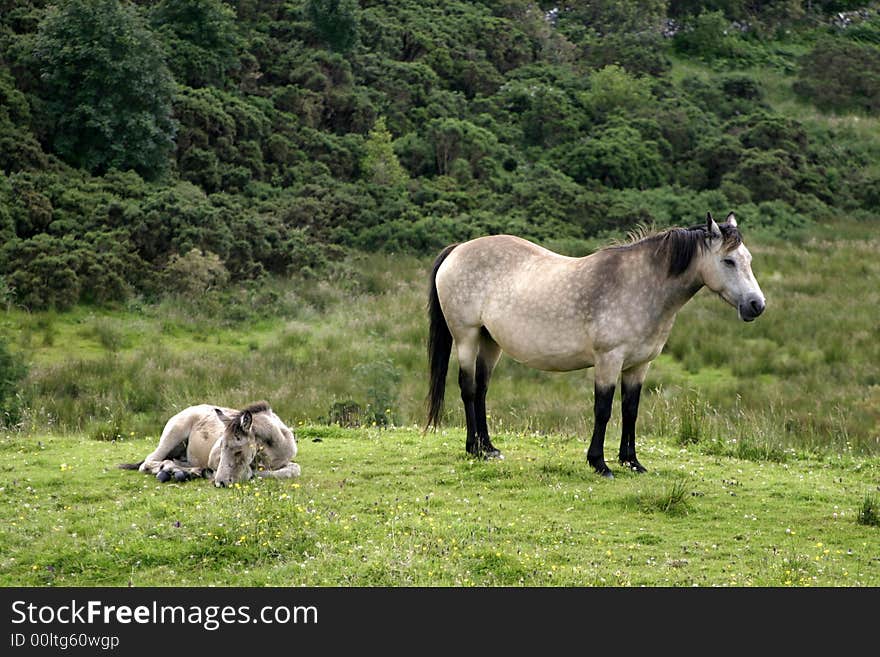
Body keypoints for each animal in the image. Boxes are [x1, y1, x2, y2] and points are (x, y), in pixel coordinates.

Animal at [426, 213, 764, 474]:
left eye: (747, 259)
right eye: (728, 261)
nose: (756, 305)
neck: (640, 286)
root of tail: (458, 249)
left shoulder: (639, 366)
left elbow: (631, 410)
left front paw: (631, 462)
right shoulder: (608, 360)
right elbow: (603, 410)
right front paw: (599, 463)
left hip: (490, 341)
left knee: (482, 389)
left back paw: (489, 447)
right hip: (467, 337)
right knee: (469, 389)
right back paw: (473, 448)